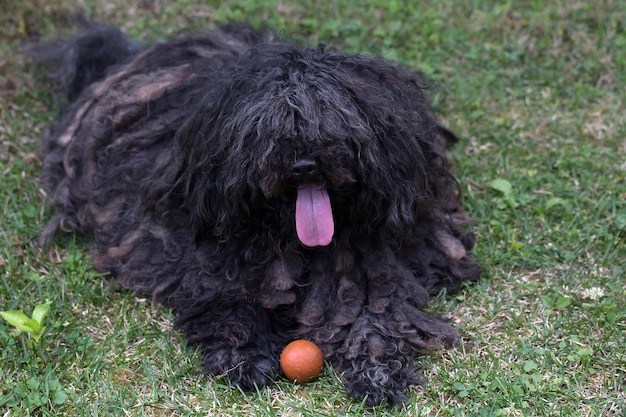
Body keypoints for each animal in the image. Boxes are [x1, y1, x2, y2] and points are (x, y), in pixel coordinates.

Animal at [31, 22, 480, 404]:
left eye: (334, 121)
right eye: (267, 129)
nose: (304, 165)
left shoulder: (374, 268)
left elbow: (378, 317)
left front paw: (377, 371)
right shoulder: (209, 262)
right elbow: (230, 305)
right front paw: (243, 356)